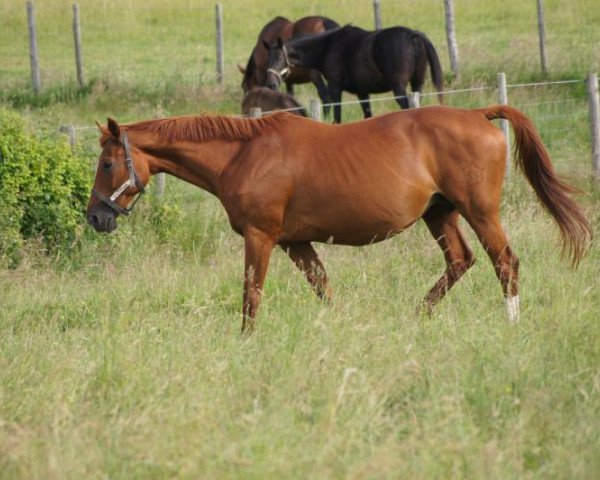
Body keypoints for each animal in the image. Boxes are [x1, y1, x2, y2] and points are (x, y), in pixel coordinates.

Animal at [86, 106, 592, 334]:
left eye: (107, 163)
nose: (95, 217)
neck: (244, 153)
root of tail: (478, 113)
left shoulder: (261, 238)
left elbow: (251, 297)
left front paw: (244, 342)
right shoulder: (295, 243)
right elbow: (323, 288)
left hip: (480, 212)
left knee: (504, 262)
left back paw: (511, 323)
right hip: (440, 214)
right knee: (460, 261)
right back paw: (417, 316)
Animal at [264, 25, 442, 123]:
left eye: (279, 58)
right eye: (268, 59)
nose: (270, 84)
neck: (328, 47)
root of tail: (412, 35)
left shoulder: (335, 89)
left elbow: (337, 117)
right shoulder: (362, 93)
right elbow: (368, 115)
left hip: (399, 87)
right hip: (417, 84)